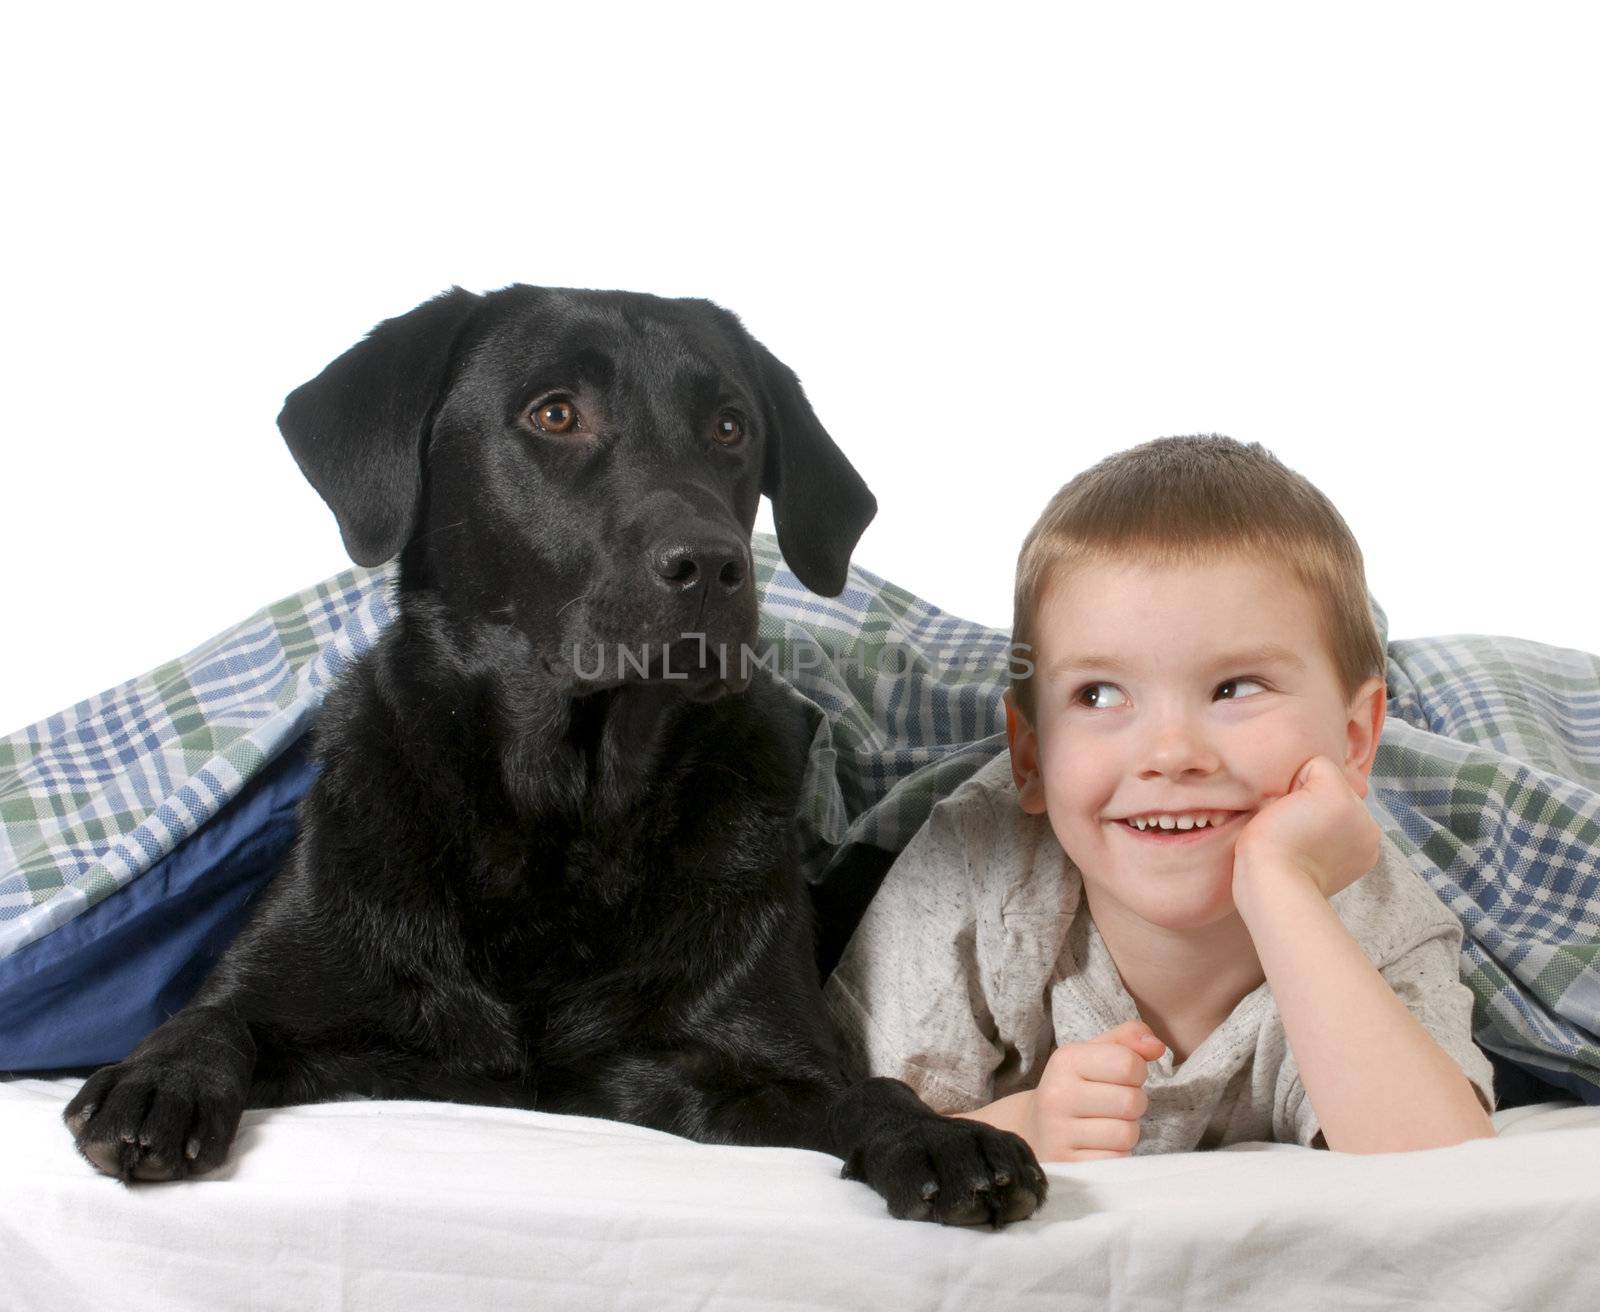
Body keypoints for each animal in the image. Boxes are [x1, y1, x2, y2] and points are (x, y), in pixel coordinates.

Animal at [62, 281, 1043, 1222]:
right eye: (555, 413)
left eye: (731, 428)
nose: (714, 565)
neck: (565, 807)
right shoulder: (311, 1010)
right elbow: (210, 1020)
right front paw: (157, 1082)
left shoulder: (746, 1064)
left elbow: (864, 1089)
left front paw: (938, 1136)